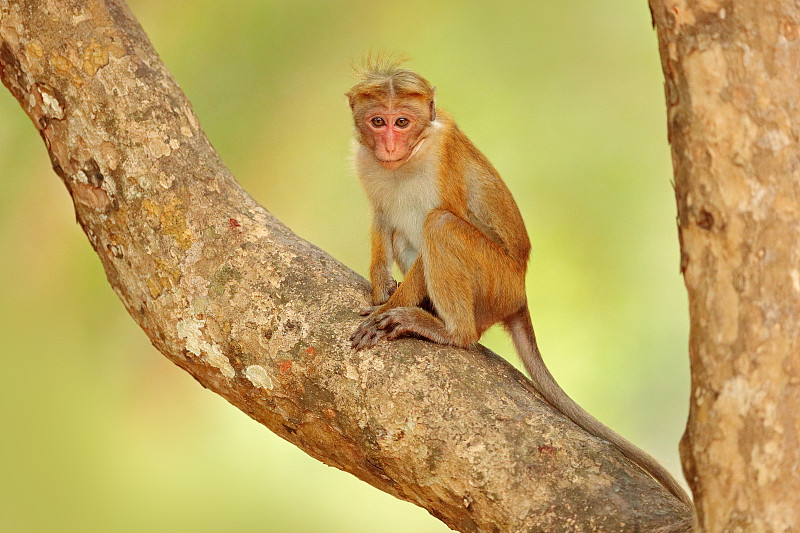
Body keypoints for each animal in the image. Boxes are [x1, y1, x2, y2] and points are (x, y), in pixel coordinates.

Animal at [346, 58, 692, 508]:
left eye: (402, 122)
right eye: (378, 121)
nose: (389, 145)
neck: (405, 162)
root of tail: (521, 292)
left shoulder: (441, 158)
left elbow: (441, 215)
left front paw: (388, 308)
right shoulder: (364, 162)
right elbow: (381, 219)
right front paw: (381, 288)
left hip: (496, 281)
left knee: (440, 226)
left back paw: (447, 330)